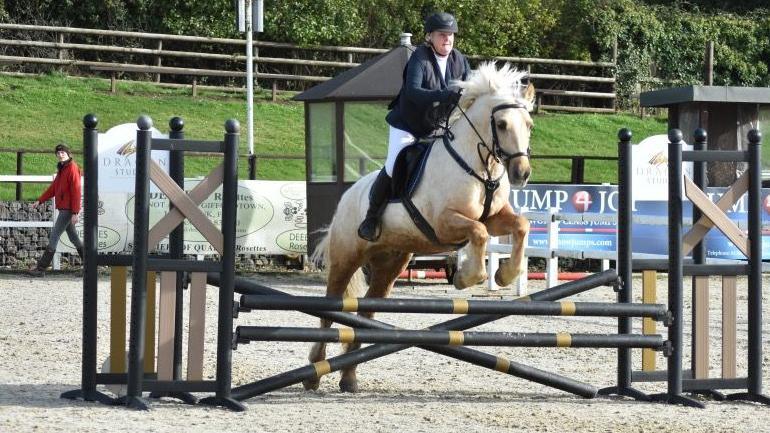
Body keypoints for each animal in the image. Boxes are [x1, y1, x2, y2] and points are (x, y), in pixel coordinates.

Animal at [306, 63, 536, 392]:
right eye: (502, 124)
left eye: (529, 125)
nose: (521, 174)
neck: (478, 165)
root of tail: (347, 196)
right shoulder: (445, 222)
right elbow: (478, 234)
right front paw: (467, 278)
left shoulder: (494, 217)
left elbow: (520, 225)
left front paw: (505, 275)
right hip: (346, 258)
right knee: (330, 309)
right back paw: (314, 371)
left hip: (390, 265)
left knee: (366, 312)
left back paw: (349, 377)